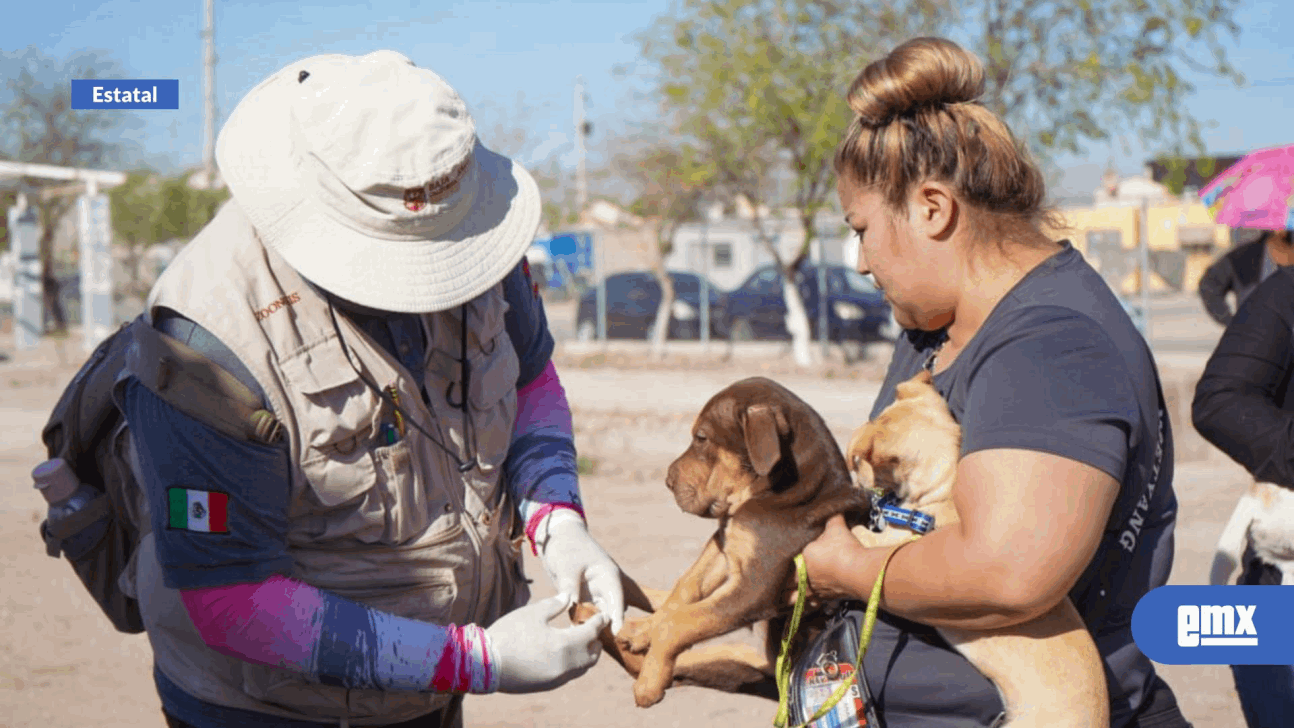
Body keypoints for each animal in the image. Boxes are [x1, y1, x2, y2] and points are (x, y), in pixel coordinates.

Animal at [613, 380, 869, 708]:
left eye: (701, 438)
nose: (668, 481)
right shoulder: (726, 546)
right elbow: (685, 590)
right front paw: (644, 630)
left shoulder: (754, 587)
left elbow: (684, 621)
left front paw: (650, 682)